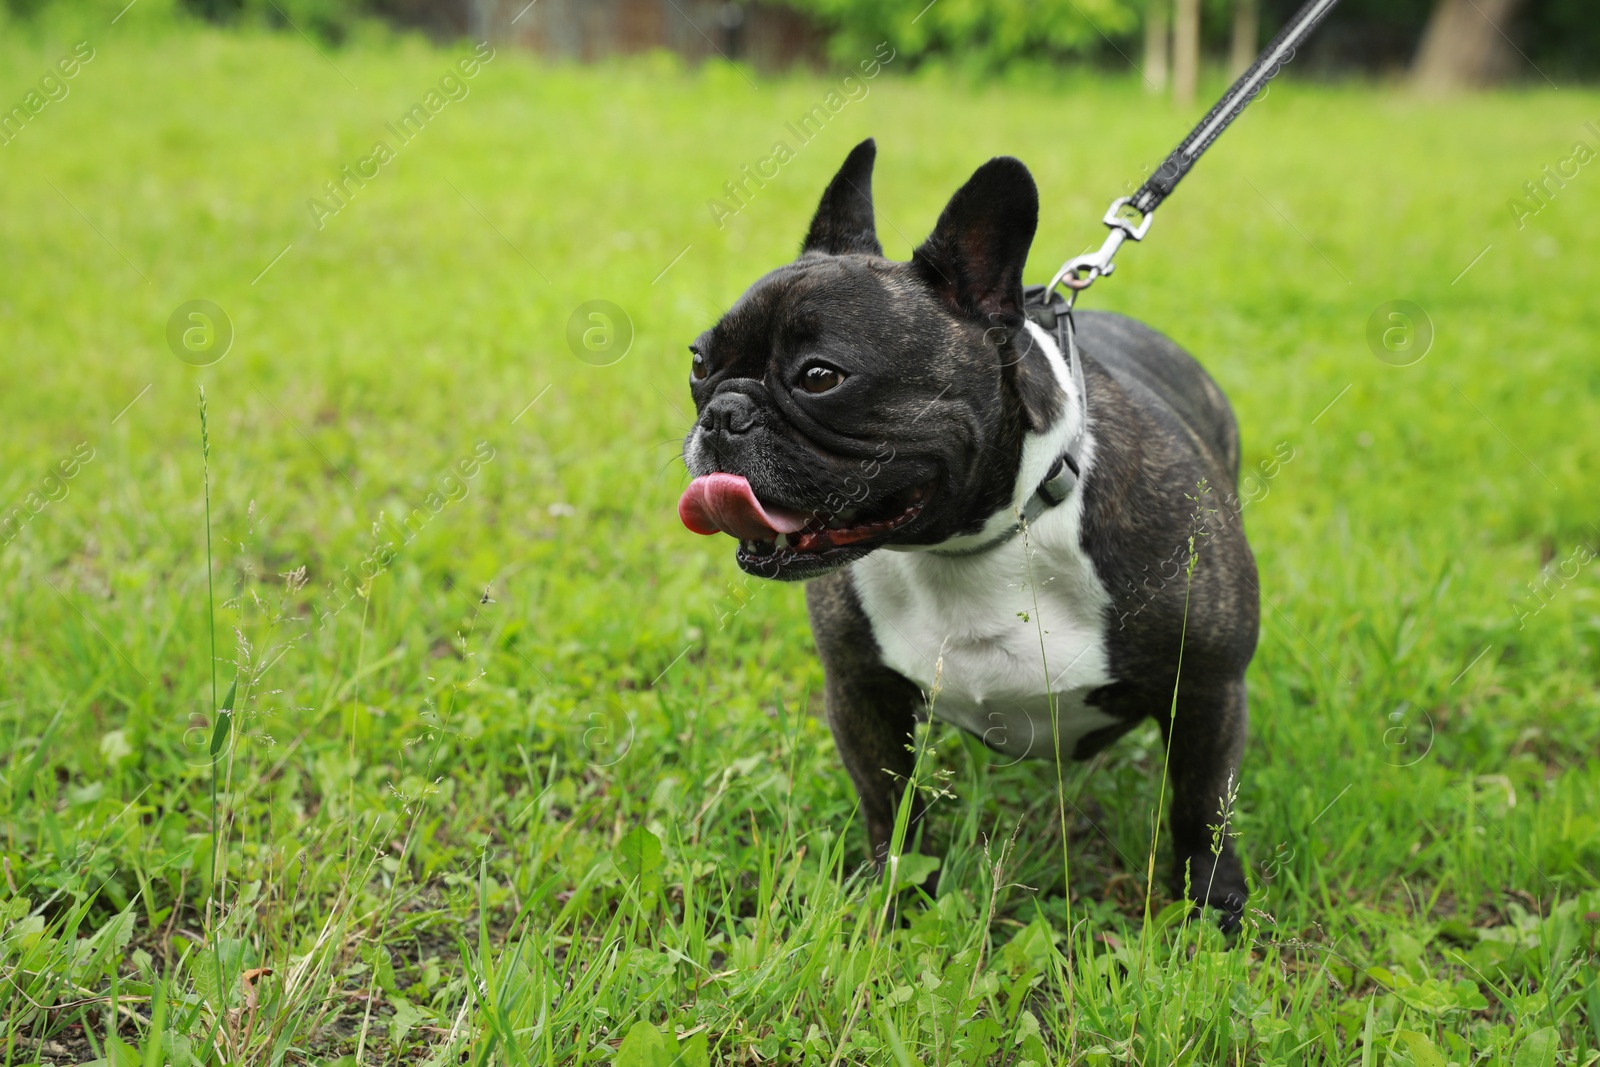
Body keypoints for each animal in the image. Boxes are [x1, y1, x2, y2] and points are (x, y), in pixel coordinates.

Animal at [675, 139, 1260, 927]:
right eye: (699, 364)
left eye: (821, 376)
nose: (722, 413)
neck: (970, 547)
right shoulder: (862, 693)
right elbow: (889, 805)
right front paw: (894, 893)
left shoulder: (1207, 689)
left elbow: (1202, 809)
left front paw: (1211, 909)